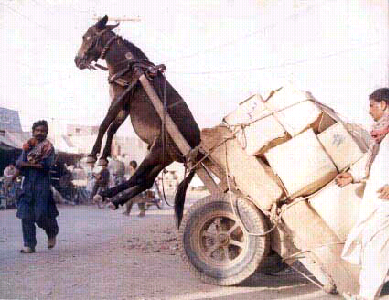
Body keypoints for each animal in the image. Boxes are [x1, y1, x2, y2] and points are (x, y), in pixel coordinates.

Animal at [74, 15, 200, 227]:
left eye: (86, 36)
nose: (77, 60)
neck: (128, 66)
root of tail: (197, 146)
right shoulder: (125, 107)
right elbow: (112, 128)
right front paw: (103, 157)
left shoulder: (119, 98)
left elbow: (104, 124)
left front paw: (93, 155)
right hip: (162, 157)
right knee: (145, 181)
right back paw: (115, 199)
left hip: (156, 153)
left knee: (136, 178)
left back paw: (107, 195)